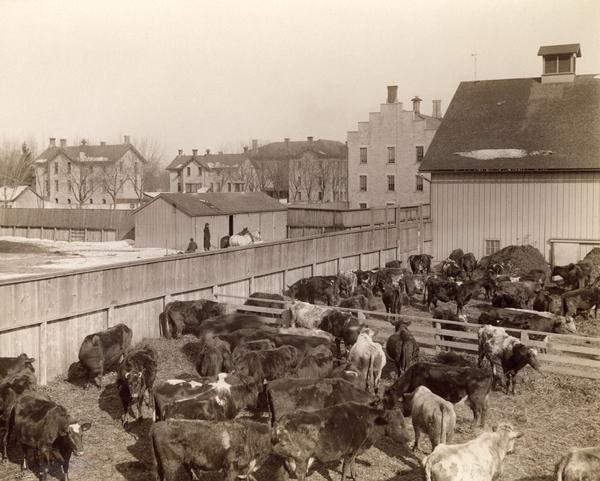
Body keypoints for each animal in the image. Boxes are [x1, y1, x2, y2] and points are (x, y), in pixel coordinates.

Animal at [274, 402, 410, 480]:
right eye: (399, 425)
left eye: (404, 423)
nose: (409, 439)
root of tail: (281, 422)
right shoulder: (351, 449)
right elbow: (345, 468)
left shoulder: (355, 449)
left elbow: (352, 465)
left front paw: (355, 476)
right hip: (301, 459)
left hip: (285, 460)